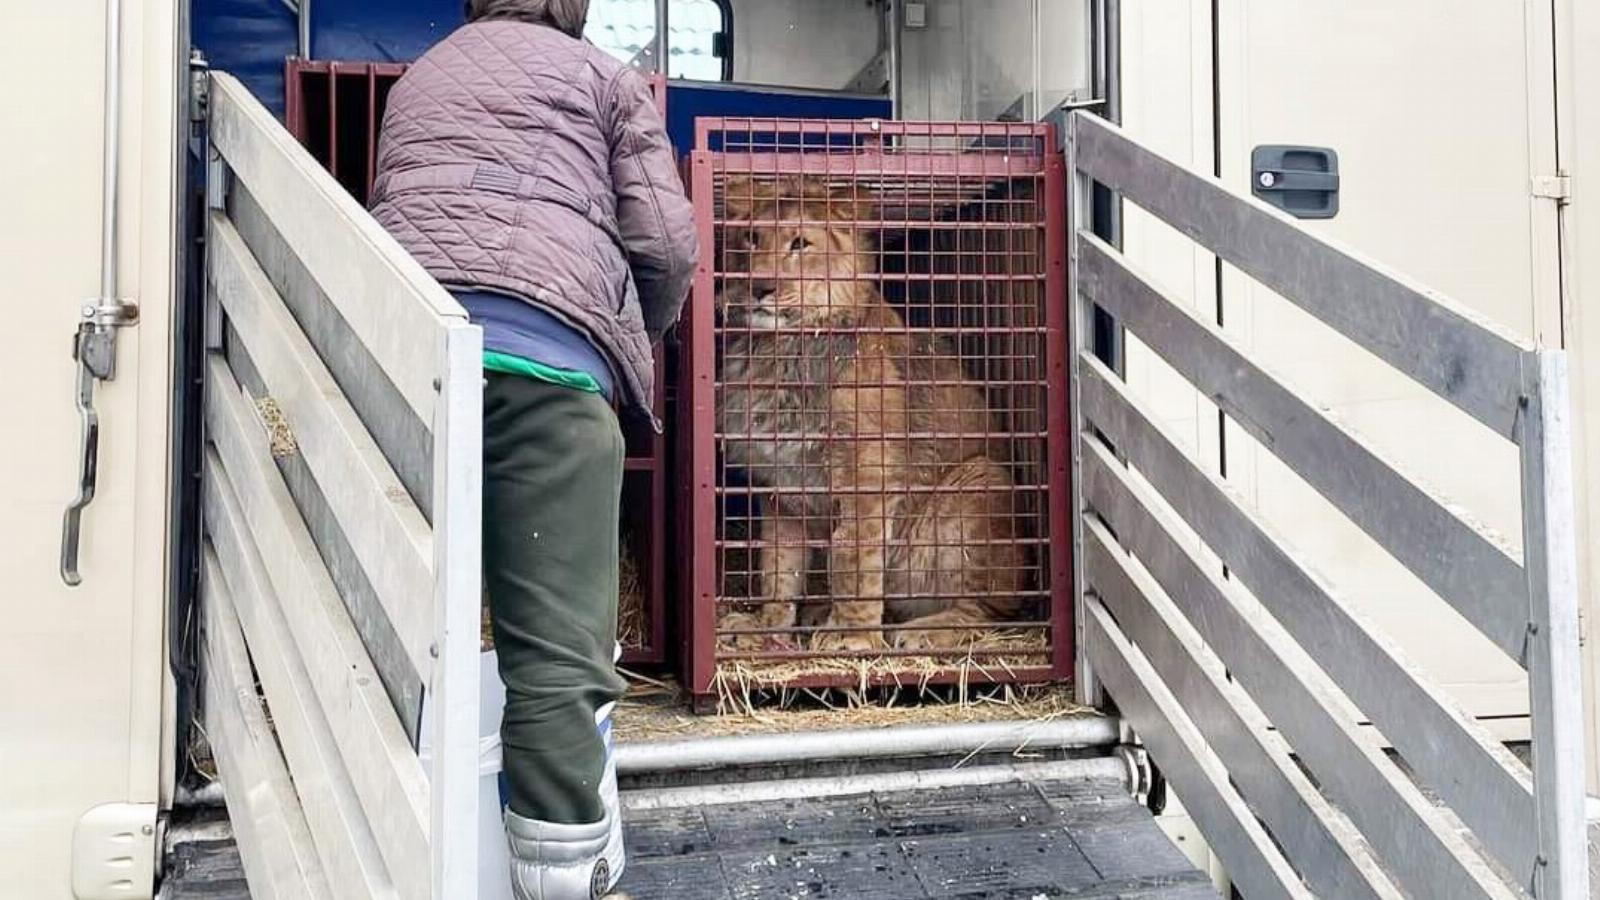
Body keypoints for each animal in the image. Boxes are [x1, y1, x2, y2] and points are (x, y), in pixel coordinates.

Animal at [713, 175, 1024, 650]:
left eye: (800, 244)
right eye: (751, 238)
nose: (759, 287)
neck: (777, 350)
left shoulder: (867, 476)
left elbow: (853, 560)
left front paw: (853, 638)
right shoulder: (780, 487)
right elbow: (778, 568)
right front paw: (766, 629)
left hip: (977, 480)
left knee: (988, 612)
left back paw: (922, 632)